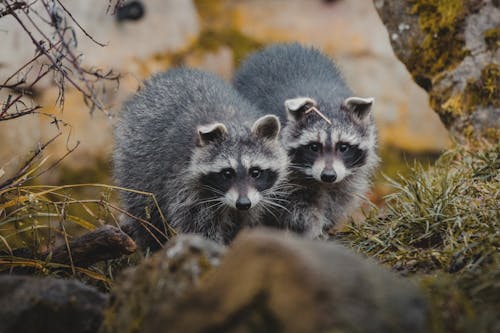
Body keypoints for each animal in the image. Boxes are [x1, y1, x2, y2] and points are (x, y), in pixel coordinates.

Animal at [112, 68, 288, 249]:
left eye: (255, 172)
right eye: (227, 173)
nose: (243, 203)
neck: (233, 122)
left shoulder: (256, 199)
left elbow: (244, 221)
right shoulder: (184, 183)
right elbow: (198, 226)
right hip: (137, 162)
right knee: (145, 211)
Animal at [234, 43, 378, 236]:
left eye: (343, 147)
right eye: (314, 147)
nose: (328, 175)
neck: (325, 98)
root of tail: (281, 45)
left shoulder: (348, 174)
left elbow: (340, 196)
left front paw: (327, 224)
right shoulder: (284, 172)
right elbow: (295, 205)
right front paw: (310, 228)